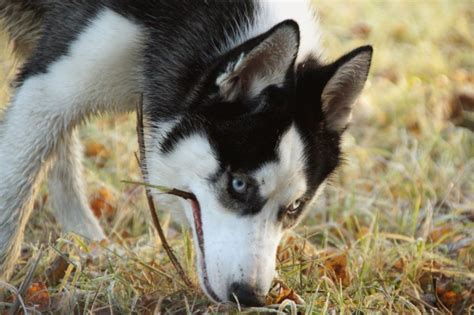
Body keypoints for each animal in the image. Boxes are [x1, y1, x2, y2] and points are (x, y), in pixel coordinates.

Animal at [0, 0, 372, 306]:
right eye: (238, 184)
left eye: (296, 206)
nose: (250, 297)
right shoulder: (48, 86)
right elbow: (14, 192)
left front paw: (87, 245)